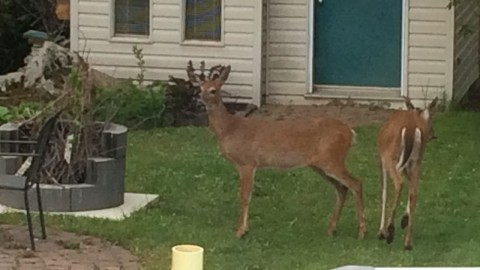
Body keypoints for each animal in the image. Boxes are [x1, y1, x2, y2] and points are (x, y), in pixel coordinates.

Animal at [189, 63, 366, 240]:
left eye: (213, 90)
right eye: (200, 88)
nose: (201, 100)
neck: (230, 129)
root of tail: (350, 132)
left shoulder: (247, 162)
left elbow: (245, 196)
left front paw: (241, 231)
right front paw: (244, 229)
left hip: (332, 159)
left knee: (356, 183)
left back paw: (361, 232)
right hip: (320, 164)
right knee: (342, 188)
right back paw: (331, 229)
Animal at [376, 96, 440, 250]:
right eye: (431, 118)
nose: (433, 135)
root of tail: (411, 128)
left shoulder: (382, 160)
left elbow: (384, 193)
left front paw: (381, 231)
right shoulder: (408, 164)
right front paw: (405, 219)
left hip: (391, 157)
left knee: (399, 183)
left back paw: (390, 231)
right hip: (417, 160)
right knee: (414, 192)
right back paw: (407, 242)